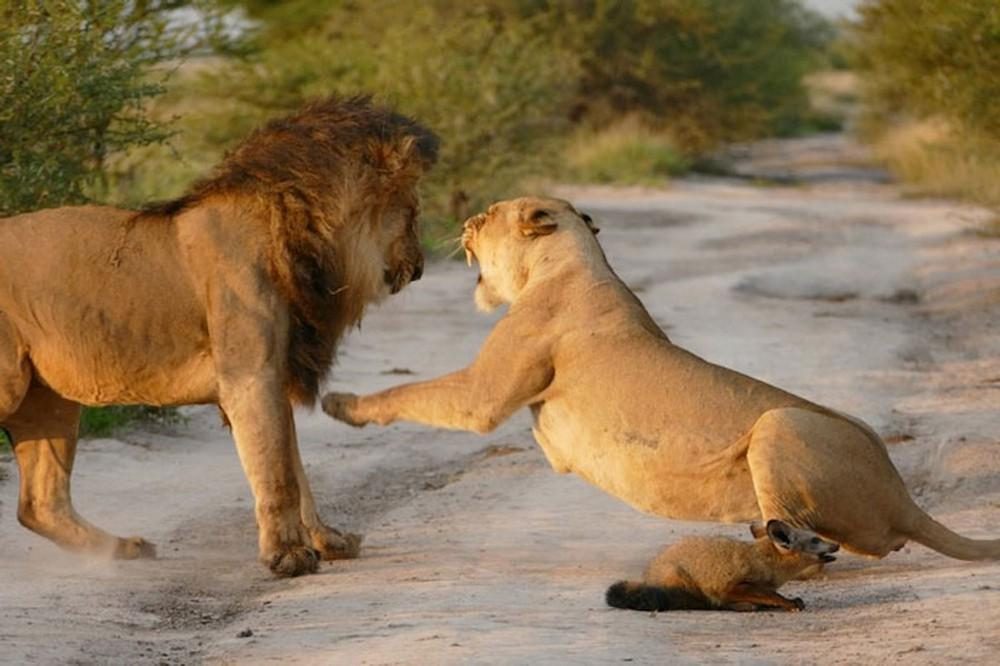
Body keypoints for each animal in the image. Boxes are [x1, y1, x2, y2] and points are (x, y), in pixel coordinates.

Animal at [0, 94, 438, 576]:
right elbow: (278, 472)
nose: (420, 268)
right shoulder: (251, 376)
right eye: (412, 211)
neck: (301, 234)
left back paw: (123, 549)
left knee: (39, 504)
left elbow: (295, 468)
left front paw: (327, 540)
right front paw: (288, 556)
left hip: (47, 397)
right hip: (12, 385)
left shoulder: (274, 373)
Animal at [326, 196, 1000, 560]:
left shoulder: (482, 394)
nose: (464, 220)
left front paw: (340, 403)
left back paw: (786, 539)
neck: (569, 261)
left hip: (781, 422)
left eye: (489, 215)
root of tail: (904, 496)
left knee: (813, 530)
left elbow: (409, 390)